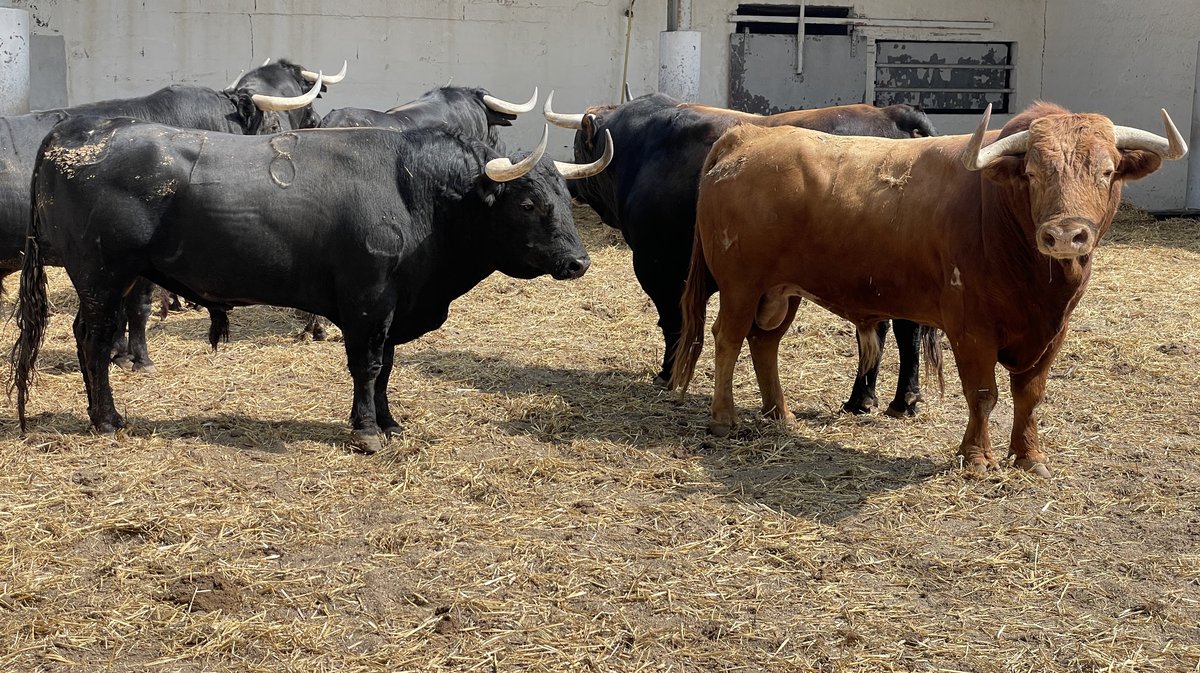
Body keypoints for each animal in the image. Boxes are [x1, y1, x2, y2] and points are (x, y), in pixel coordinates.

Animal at [16, 118, 597, 453]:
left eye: (565, 199)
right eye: (529, 203)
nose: (579, 261)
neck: (417, 192)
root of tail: (71, 135)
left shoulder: (390, 310)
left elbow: (386, 368)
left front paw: (389, 422)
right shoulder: (368, 303)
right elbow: (367, 366)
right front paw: (366, 431)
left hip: (117, 279)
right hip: (102, 276)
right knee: (93, 340)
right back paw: (107, 419)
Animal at [559, 92, 936, 415]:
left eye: (578, 146)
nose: (570, 185)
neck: (643, 150)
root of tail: (893, 114)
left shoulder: (659, 268)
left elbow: (673, 323)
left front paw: (667, 375)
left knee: (892, 331)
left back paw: (873, 399)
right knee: (902, 331)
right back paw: (892, 400)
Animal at [672, 102, 1185, 475]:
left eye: (1106, 170)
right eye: (1033, 173)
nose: (1064, 234)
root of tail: (746, 136)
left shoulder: (1052, 332)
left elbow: (1030, 393)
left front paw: (1029, 457)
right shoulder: (971, 327)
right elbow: (982, 393)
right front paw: (977, 459)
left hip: (781, 292)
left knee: (765, 343)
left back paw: (779, 413)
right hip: (741, 284)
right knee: (728, 339)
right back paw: (724, 418)